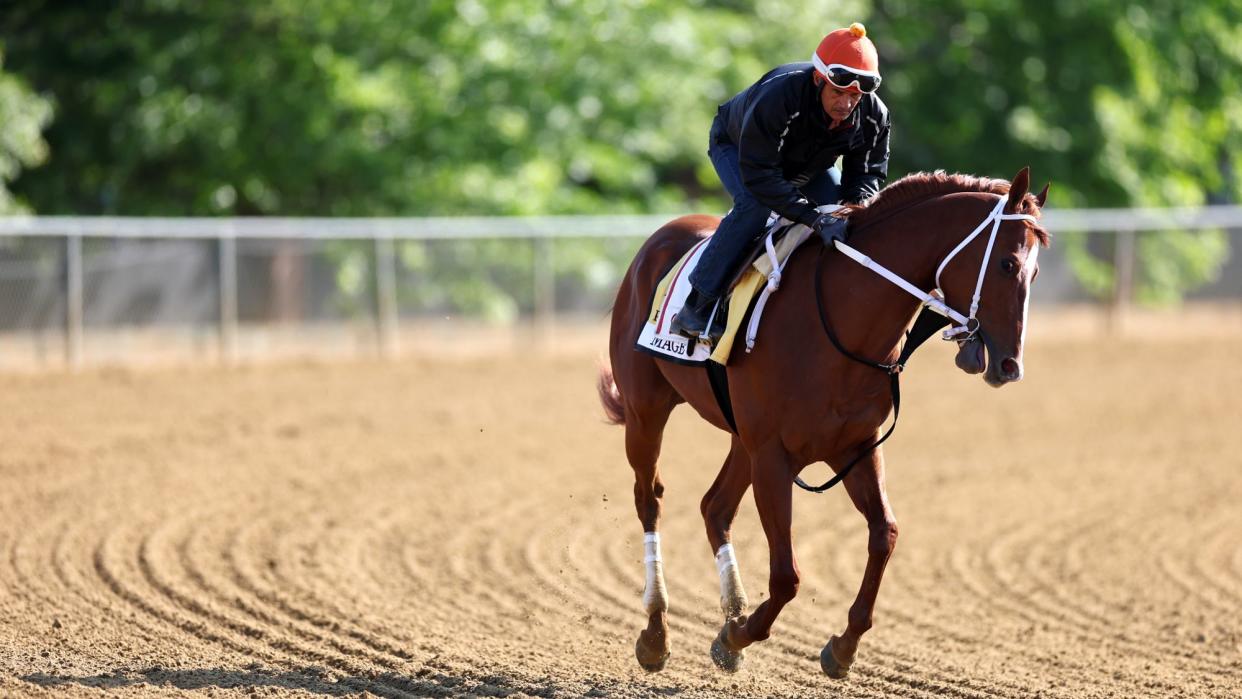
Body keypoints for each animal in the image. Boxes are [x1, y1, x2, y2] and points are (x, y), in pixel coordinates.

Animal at [591, 167, 1048, 680]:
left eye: (1034, 271)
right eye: (1008, 264)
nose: (1010, 365)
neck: (842, 322)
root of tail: (659, 238)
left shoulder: (856, 446)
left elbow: (884, 534)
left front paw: (840, 646)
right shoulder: (773, 455)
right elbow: (787, 576)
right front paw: (737, 634)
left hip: (740, 438)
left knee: (715, 507)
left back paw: (731, 609)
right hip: (646, 410)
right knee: (650, 500)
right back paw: (656, 633)